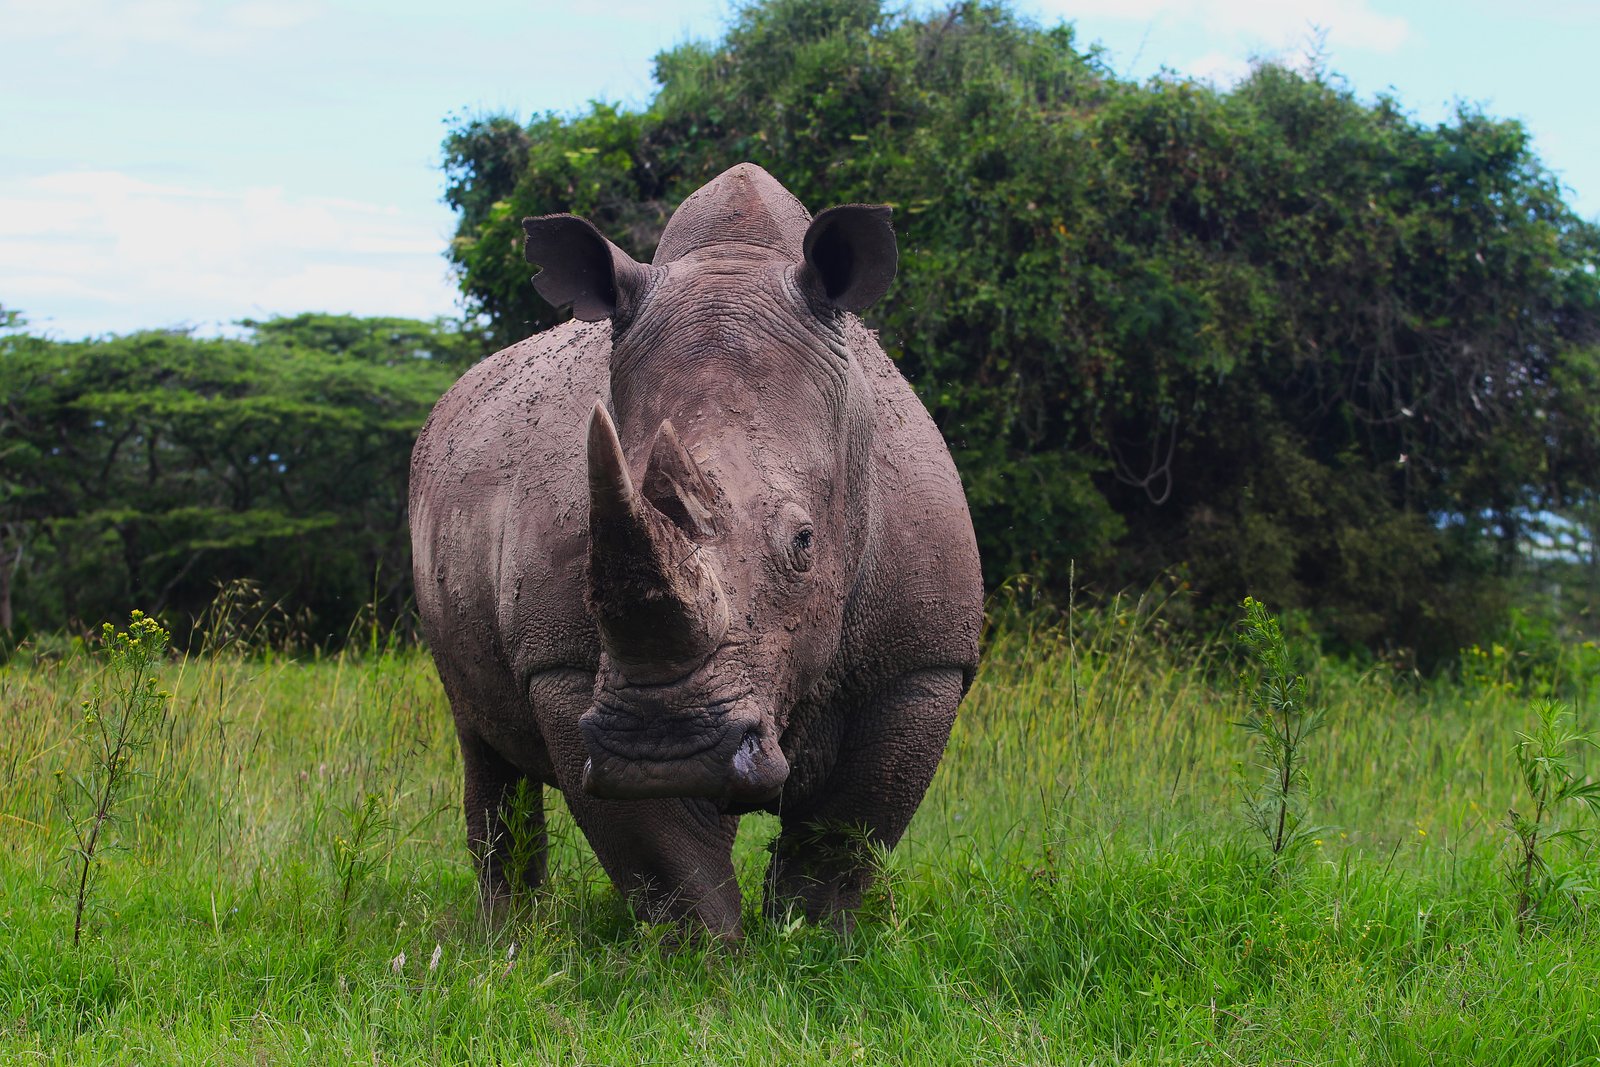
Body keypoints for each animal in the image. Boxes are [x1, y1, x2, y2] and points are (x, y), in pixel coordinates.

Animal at [409, 163, 982, 936]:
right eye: (586, 539)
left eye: (804, 543)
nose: (664, 748)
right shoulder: (560, 667)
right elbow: (668, 860)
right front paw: (707, 957)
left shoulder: (922, 661)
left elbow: (843, 838)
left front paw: (814, 943)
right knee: (482, 744)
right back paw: (511, 938)